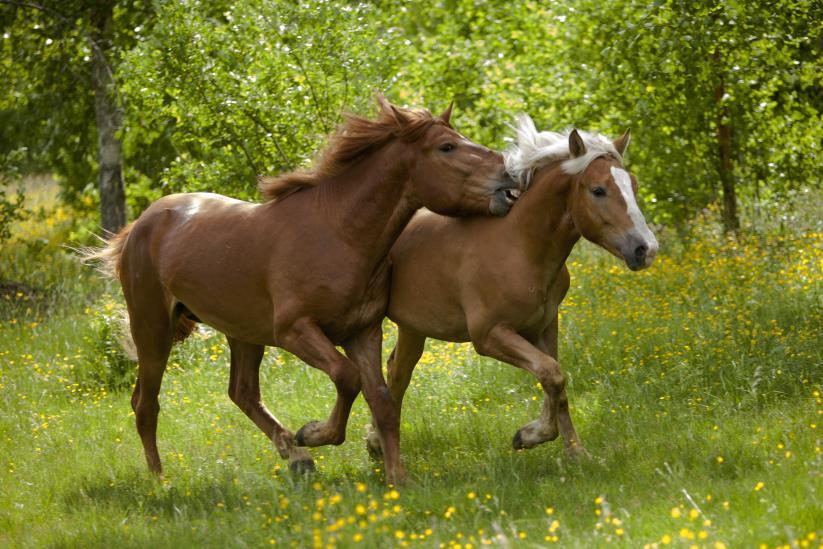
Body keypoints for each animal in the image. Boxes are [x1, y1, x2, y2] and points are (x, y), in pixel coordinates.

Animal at [88, 95, 516, 484]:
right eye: (447, 146)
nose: (509, 177)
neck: (339, 233)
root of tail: (140, 225)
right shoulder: (295, 331)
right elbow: (347, 377)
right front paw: (313, 433)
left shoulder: (363, 332)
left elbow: (382, 399)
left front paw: (398, 477)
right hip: (153, 329)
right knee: (145, 403)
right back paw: (161, 480)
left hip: (242, 332)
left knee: (242, 392)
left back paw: (295, 458)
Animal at [366, 114, 656, 458]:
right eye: (598, 190)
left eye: (633, 186)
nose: (645, 249)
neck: (520, 247)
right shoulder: (490, 335)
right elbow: (552, 374)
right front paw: (530, 435)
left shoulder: (544, 327)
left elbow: (556, 382)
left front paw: (576, 454)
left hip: (414, 327)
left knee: (397, 372)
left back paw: (375, 442)